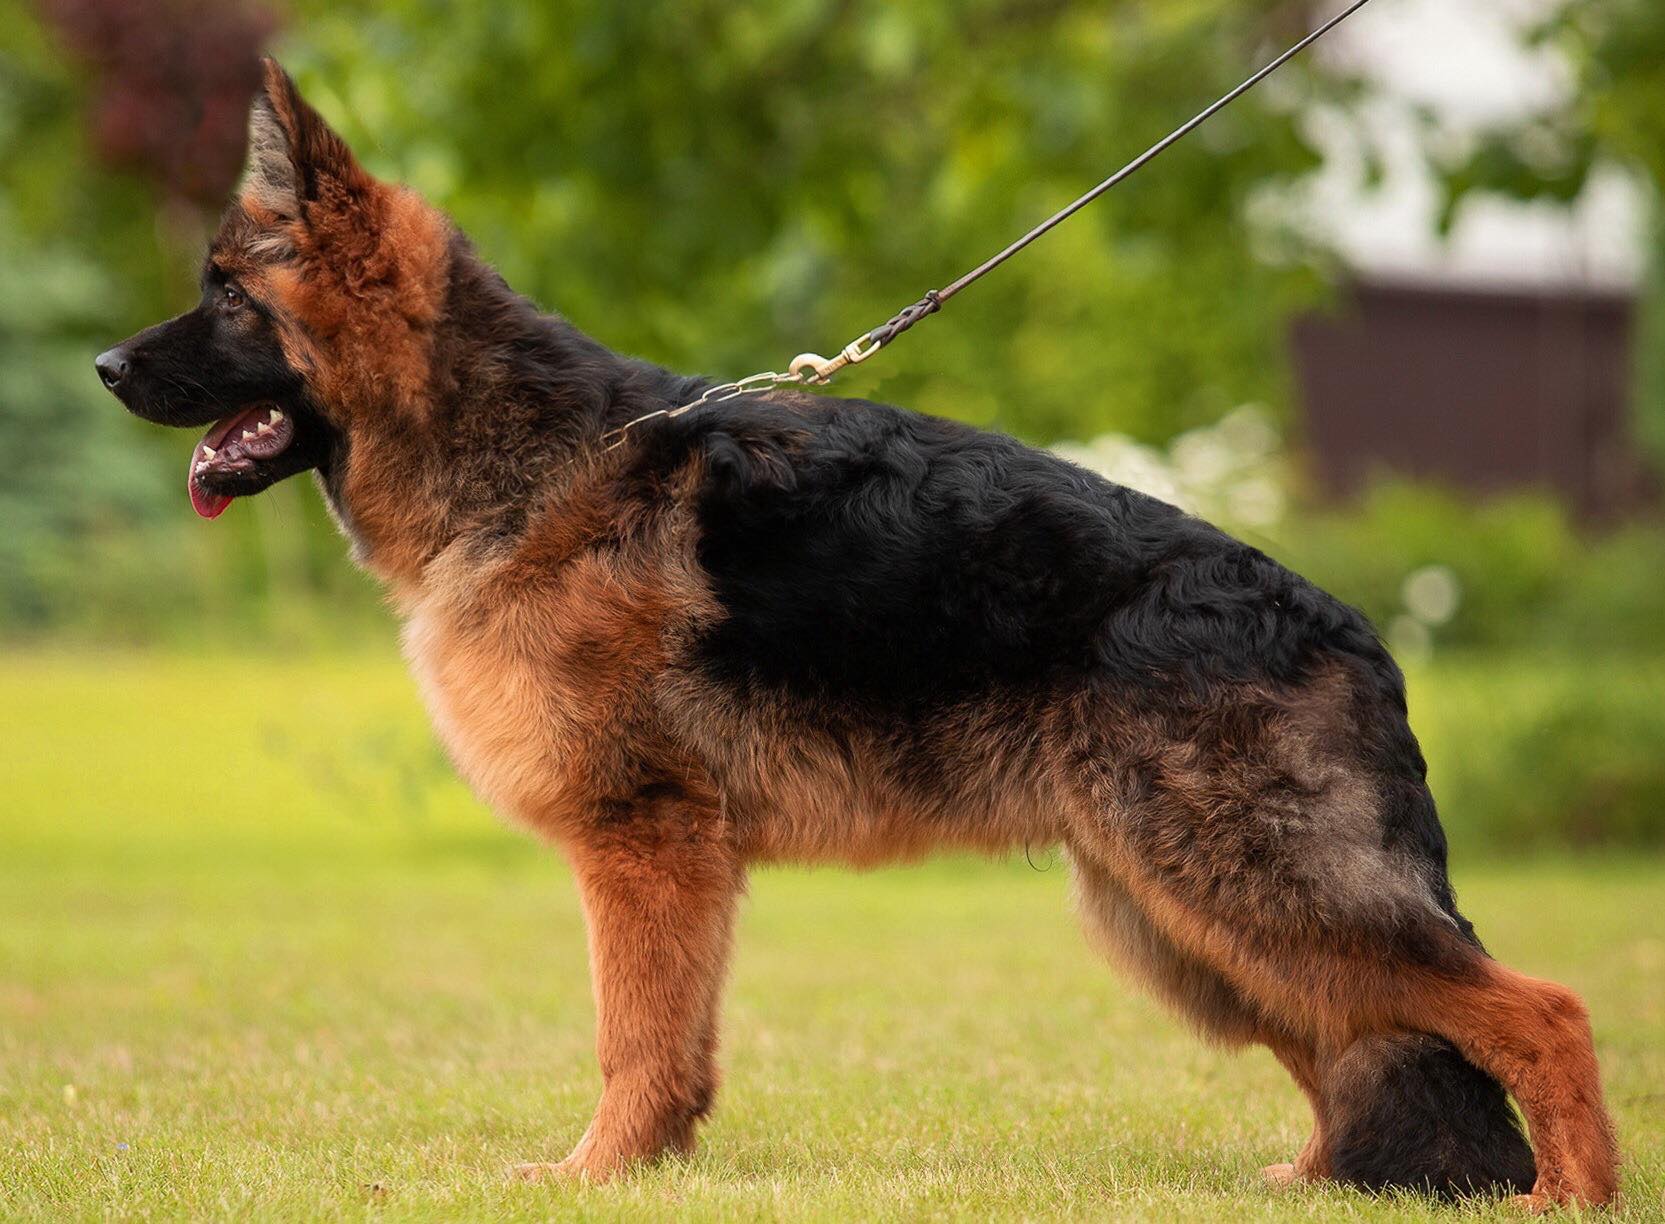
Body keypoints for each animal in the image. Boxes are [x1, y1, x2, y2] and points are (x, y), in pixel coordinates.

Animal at [94, 57, 1611, 1205]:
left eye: (227, 296)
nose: (102, 366)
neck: (523, 457)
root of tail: (1354, 627)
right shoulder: (677, 862)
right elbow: (673, 1047)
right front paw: (644, 1170)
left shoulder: (644, 843)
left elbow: (632, 1041)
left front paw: (593, 1178)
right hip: (1184, 913)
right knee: (1364, 1048)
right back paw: (1315, 1187)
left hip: (1244, 894)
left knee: (1542, 1012)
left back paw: (1564, 1196)